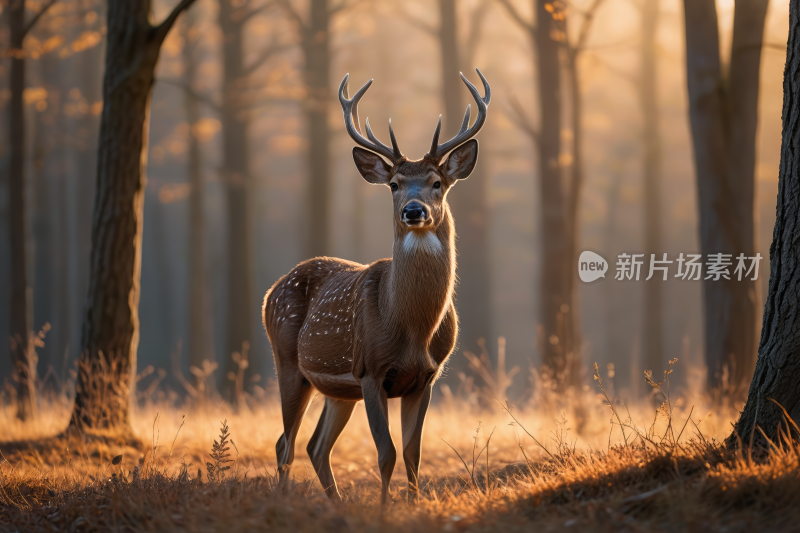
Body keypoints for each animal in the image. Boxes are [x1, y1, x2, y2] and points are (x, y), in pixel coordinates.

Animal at [262, 67, 490, 502]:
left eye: (437, 182)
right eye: (395, 184)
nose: (413, 210)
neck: (411, 328)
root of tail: (268, 293)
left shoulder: (426, 377)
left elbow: (413, 453)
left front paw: (412, 505)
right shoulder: (370, 370)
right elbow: (386, 453)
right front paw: (385, 509)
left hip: (338, 390)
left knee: (315, 445)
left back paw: (336, 504)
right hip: (288, 361)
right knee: (285, 442)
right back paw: (284, 500)